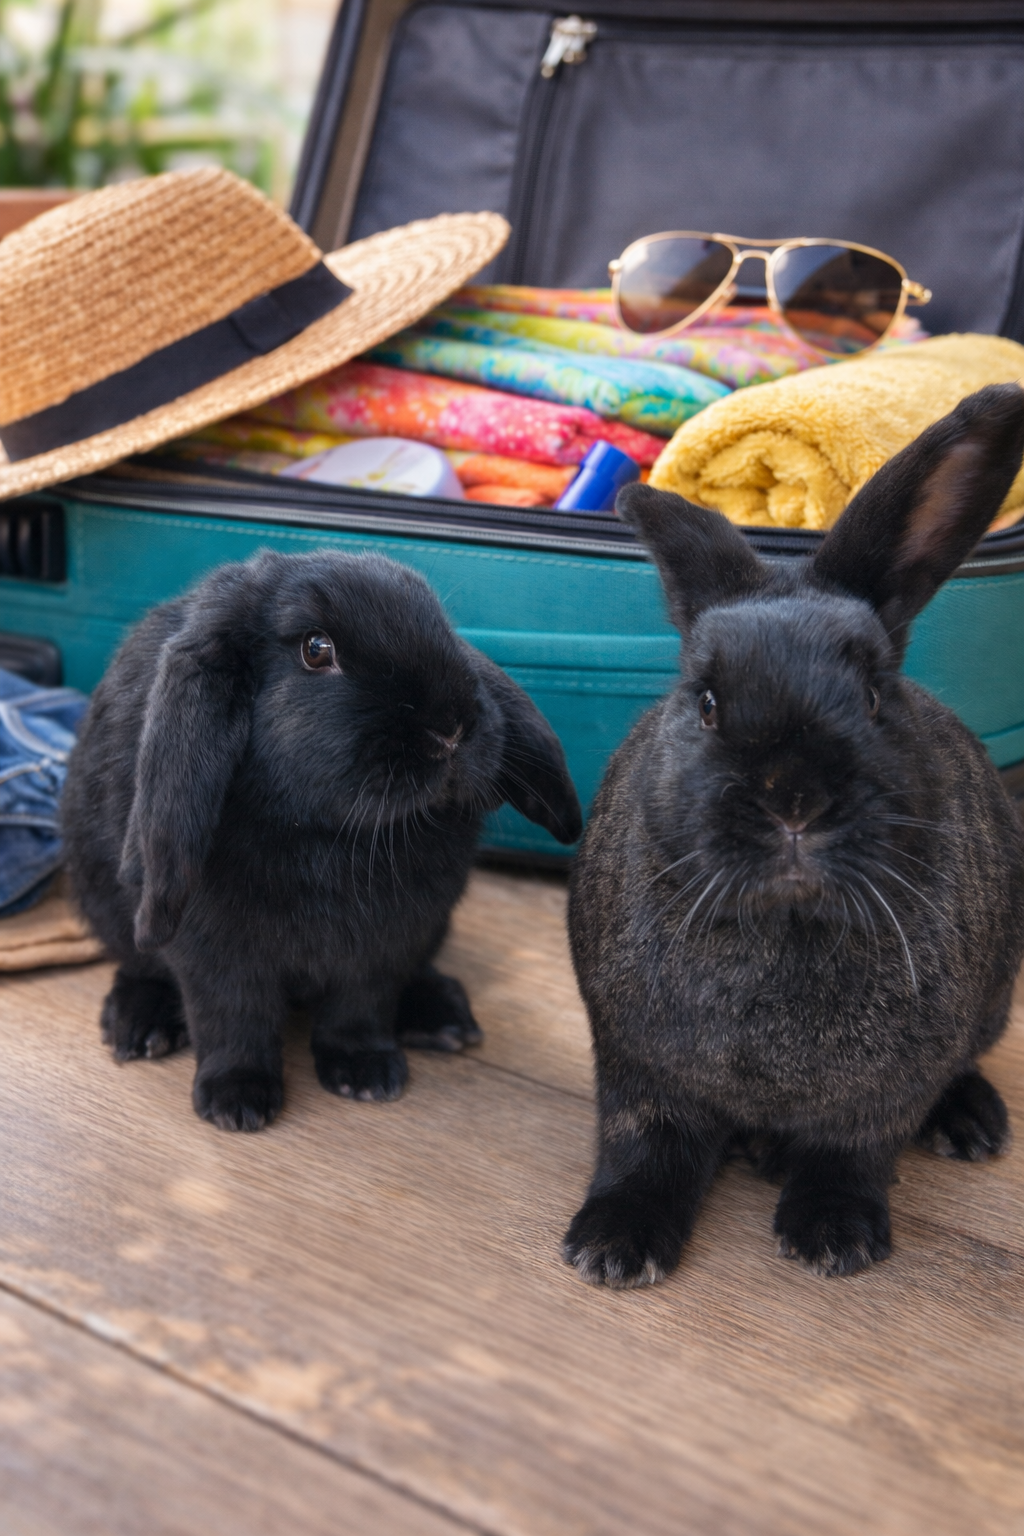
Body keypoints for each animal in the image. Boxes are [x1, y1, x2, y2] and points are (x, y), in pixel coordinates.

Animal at [62, 548, 581, 1132]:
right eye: (316, 650)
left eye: (439, 624)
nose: (451, 728)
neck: (332, 834)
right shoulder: (211, 950)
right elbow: (230, 1015)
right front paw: (236, 1102)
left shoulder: (385, 943)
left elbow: (360, 1006)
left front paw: (367, 1075)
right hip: (109, 905)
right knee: (138, 966)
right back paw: (139, 1027)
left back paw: (443, 1019)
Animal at [563, 383, 1024, 1285]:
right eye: (706, 703)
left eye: (876, 695)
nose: (794, 802)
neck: (783, 923)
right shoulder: (638, 1069)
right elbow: (643, 1150)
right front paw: (610, 1247)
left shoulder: (881, 1096)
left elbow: (851, 1153)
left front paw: (834, 1237)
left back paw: (971, 1124)